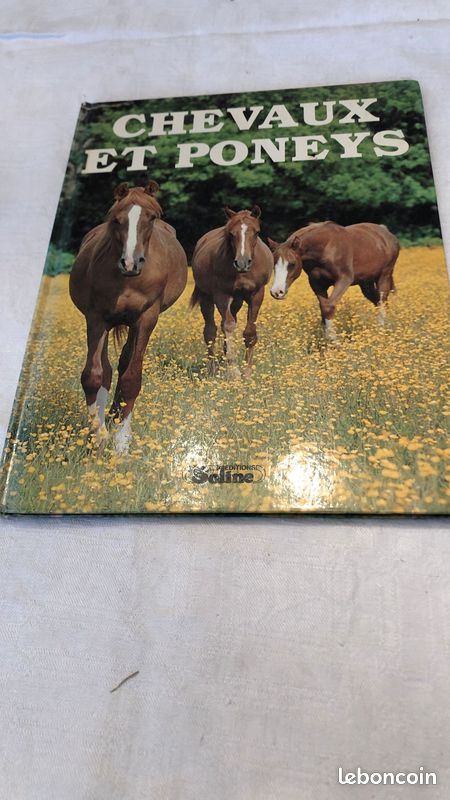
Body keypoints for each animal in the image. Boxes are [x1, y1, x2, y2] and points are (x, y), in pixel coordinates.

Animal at [69, 181, 187, 453]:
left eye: (151, 217)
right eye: (116, 219)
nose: (131, 263)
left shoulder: (146, 319)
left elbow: (132, 378)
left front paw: (121, 443)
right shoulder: (96, 318)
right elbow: (93, 376)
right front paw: (98, 437)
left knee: (124, 366)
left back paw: (116, 417)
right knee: (108, 369)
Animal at [190, 206, 273, 377]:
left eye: (256, 232)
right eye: (231, 233)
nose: (242, 263)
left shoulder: (257, 294)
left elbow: (250, 333)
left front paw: (247, 373)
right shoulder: (222, 295)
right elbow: (228, 326)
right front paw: (234, 370)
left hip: (237, 301)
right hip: (206, 298)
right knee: (211, 331)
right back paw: (213, 369)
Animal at [268, 221, 400, 339]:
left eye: (292, 264)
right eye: (273, 264)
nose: (277, 292)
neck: (326, 248)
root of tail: (386, 233)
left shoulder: (344, 279)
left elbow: (329, 306)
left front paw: (332, 339)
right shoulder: (317, 283)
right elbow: (323, 307)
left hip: (384, 276)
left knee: (382, 301)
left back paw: (381, 330)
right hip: (366, 283)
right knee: (378, 301)